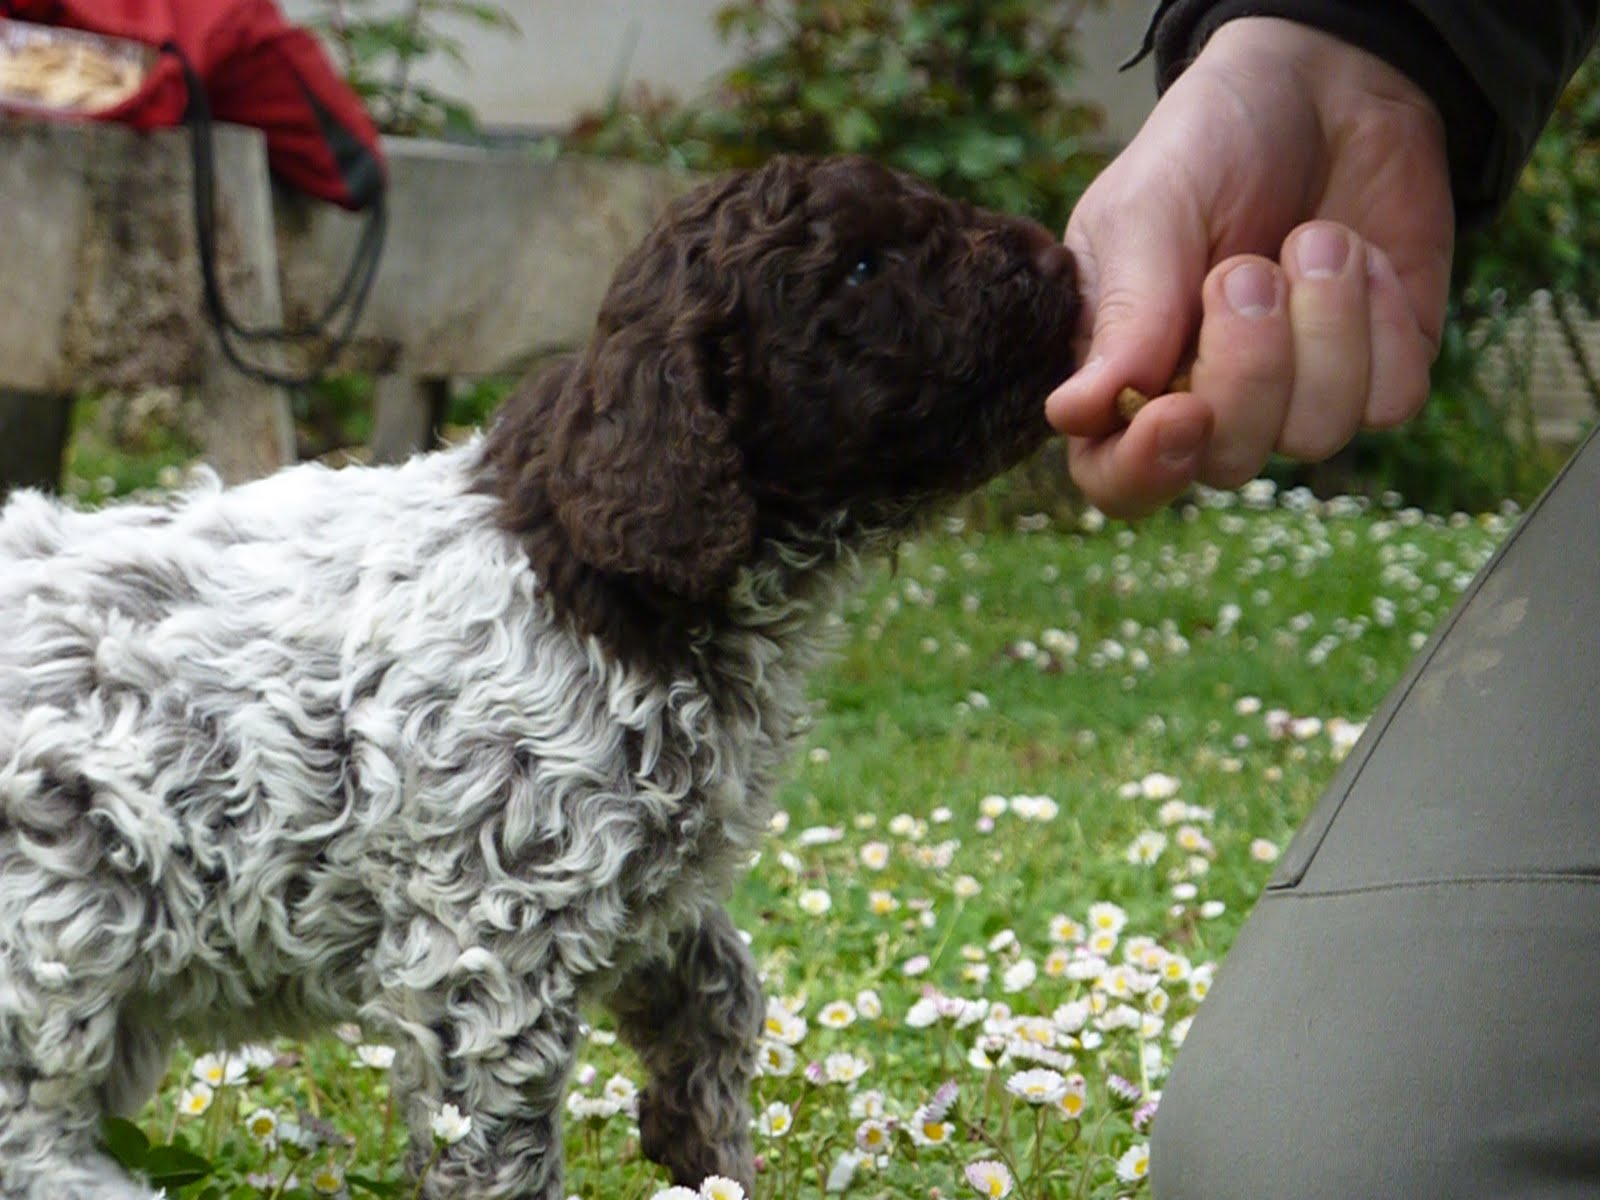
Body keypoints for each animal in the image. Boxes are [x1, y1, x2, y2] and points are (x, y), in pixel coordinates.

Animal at [0, 155, 1081, 1196]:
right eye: (860, 266)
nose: (1061, 264)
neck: (594, 568)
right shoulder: (489, 936)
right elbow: (500, 1144)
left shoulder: (639, 873)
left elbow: (722, 989)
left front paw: (705, 1142)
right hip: (54, 943)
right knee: (33, 1142)